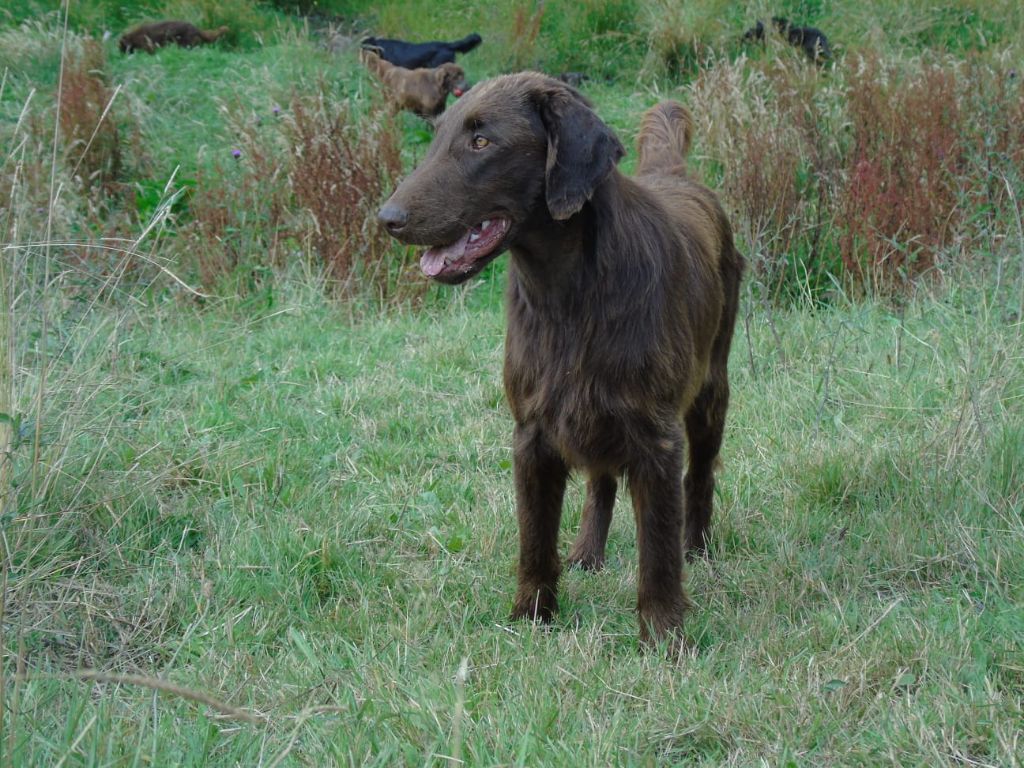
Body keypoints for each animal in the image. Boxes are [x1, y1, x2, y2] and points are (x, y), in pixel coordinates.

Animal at [378, 73, 745, 651]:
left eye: (482, 141)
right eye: (438, 137)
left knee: (701, 475)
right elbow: (534, 538)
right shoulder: (533, 431)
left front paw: (664, 635)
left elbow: (658, 550)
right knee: (600, 482)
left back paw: (699, 547)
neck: (567, 295)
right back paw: (587, 552)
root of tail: (674, 174)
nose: (387, 219)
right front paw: (531, 615)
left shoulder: (656, 438)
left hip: (711, 392)